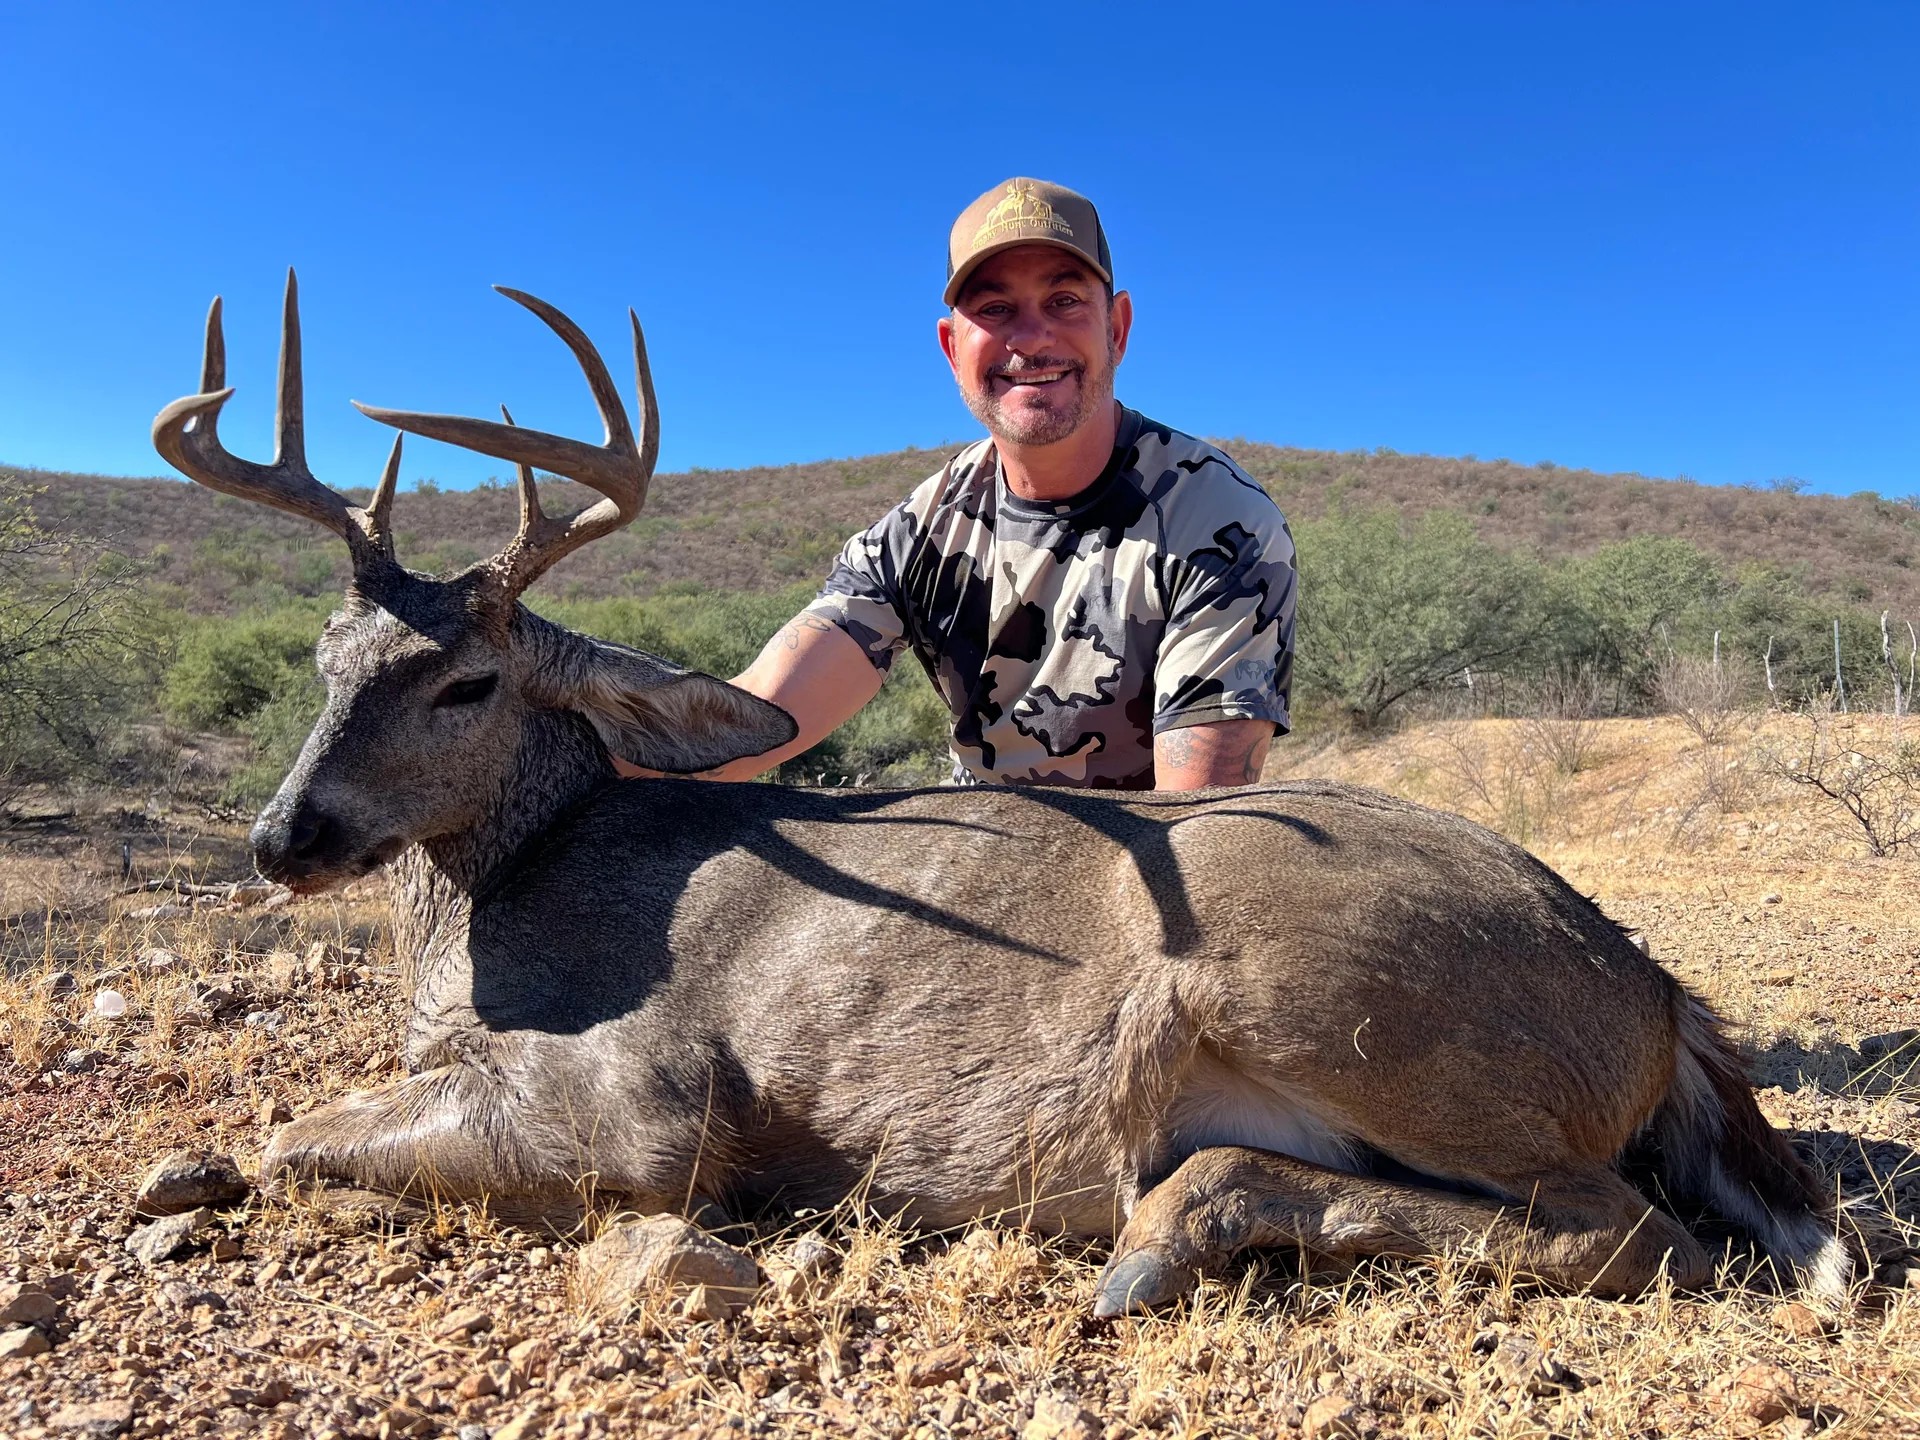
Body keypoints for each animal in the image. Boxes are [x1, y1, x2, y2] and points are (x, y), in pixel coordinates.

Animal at [150, 272, 1850, 1318]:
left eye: (467, 684)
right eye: (326, 659)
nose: (287, 838)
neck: (497, 908)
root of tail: (1654, 992)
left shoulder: (651, 1103)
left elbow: (297, 1136)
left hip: (1351, 1010)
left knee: (1644, 1237)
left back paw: (1165, 1240)